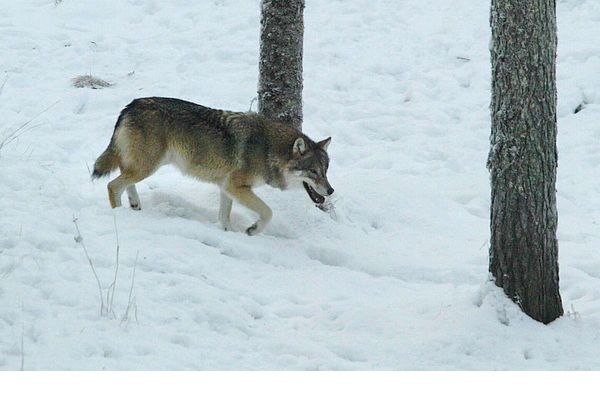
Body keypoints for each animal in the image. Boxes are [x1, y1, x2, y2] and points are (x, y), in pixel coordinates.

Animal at [92, 96, 332, 234]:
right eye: (313, 172)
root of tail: (130, 106)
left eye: (325, 171)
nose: (330, 190)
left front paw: (228, 233)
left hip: (143, 166)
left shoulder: (226, 187)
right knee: (113, 185)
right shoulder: (236, 187)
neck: (268, 149)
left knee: (124, 180)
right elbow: (268, 212)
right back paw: (119, 215)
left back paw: (135, 206)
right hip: (147, 166)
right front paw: (252, 230)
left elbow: (224, 218)